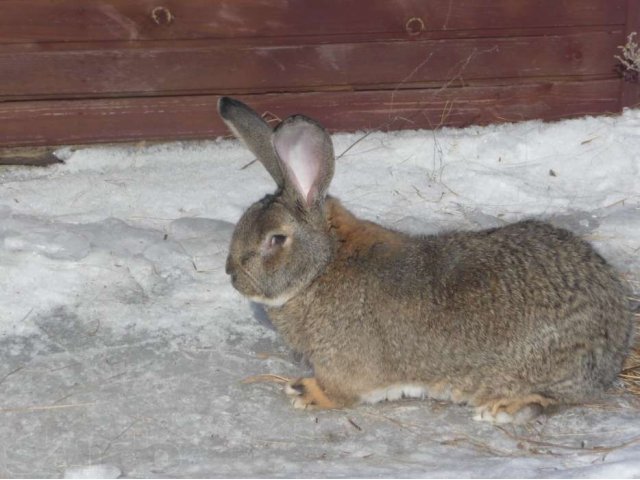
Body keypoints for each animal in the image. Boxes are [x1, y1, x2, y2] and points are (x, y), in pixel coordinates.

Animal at [220, 96, 636, 424]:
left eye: (276, 240)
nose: (232, 275)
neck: (324, 264)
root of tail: (616, 339)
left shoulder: (344, 368)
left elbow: (341, 393)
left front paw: (306, 392)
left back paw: (501, 408)